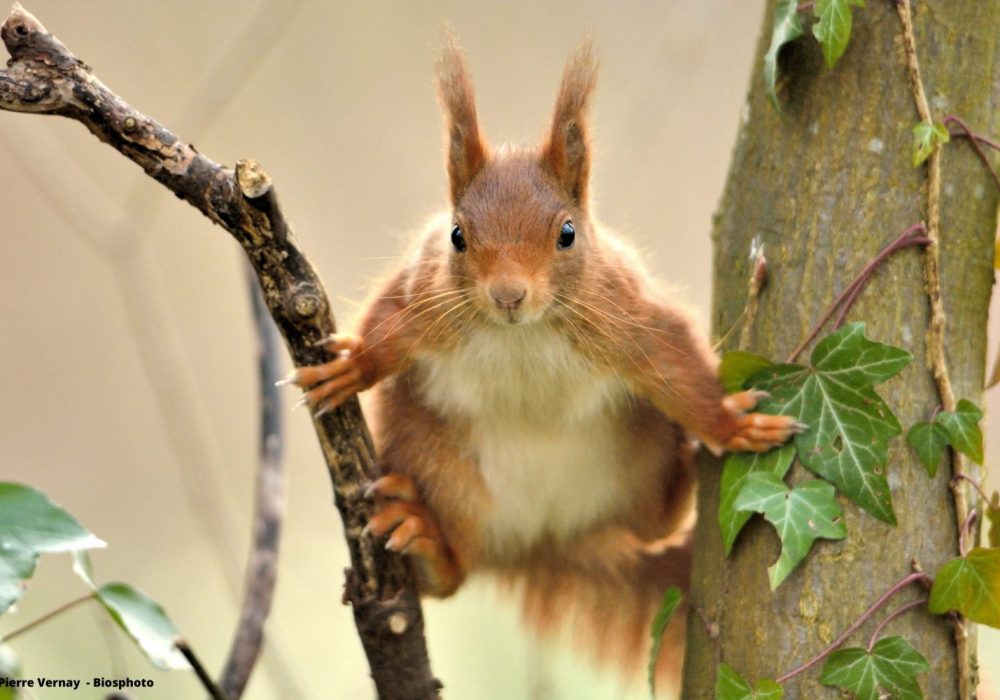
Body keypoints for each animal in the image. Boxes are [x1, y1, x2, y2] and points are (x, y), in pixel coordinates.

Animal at [286, 38, 800, 688]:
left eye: (567, 234)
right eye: (457, 235)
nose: (508, 295)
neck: (521, 335)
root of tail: (548, 541)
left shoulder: (626, 317)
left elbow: (677, 365)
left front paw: (732, 427)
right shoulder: (424, 294)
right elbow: (388, 328)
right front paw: (352, 367)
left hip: (637, 460)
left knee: (653, 525)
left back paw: (687, 466)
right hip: (439, 465)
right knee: (453, 577)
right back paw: (425, 543)